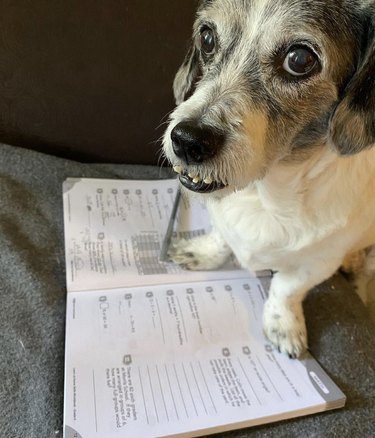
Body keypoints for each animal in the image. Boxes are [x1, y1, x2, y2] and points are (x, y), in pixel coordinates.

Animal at [162, 0, 375, 358]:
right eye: (207, 38)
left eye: (300, 59)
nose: (188, 141)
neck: (266, 195)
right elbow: (221, 237)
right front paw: (203, 252)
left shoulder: (318, 263)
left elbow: (286, 289)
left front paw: (283, 325)